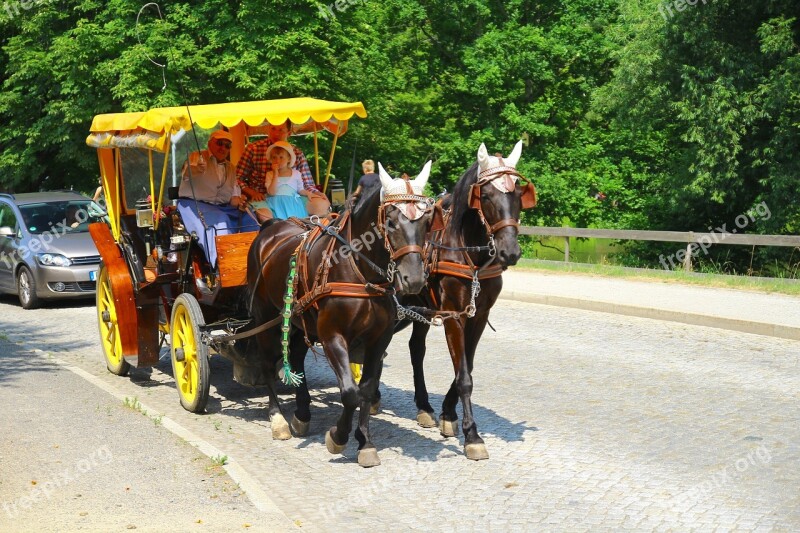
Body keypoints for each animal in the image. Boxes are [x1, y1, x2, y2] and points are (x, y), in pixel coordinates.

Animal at [247, 162, 440, 466]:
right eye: (391, 221)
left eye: (426, 222)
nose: (414, 278)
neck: (358, 270)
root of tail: (271, 228)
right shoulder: (332, 336)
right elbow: (350, 392)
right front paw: (338, 437)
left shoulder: (378, 339)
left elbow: (366, 389)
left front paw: (365, 442)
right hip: (264, 316)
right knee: (267, 363)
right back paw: (278, 419)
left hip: (300, 320)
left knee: (297, 359)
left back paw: (302, 413)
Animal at [396, 141, 536, 458]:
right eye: (486, 195)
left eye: (517, 194)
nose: (510, 251)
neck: (468, 251)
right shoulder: (453, 314)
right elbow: (463, 375)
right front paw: (472, 434)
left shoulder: (479, 315)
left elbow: (466, 365)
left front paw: (449, 414)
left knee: (415, 348)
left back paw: (423, 406)